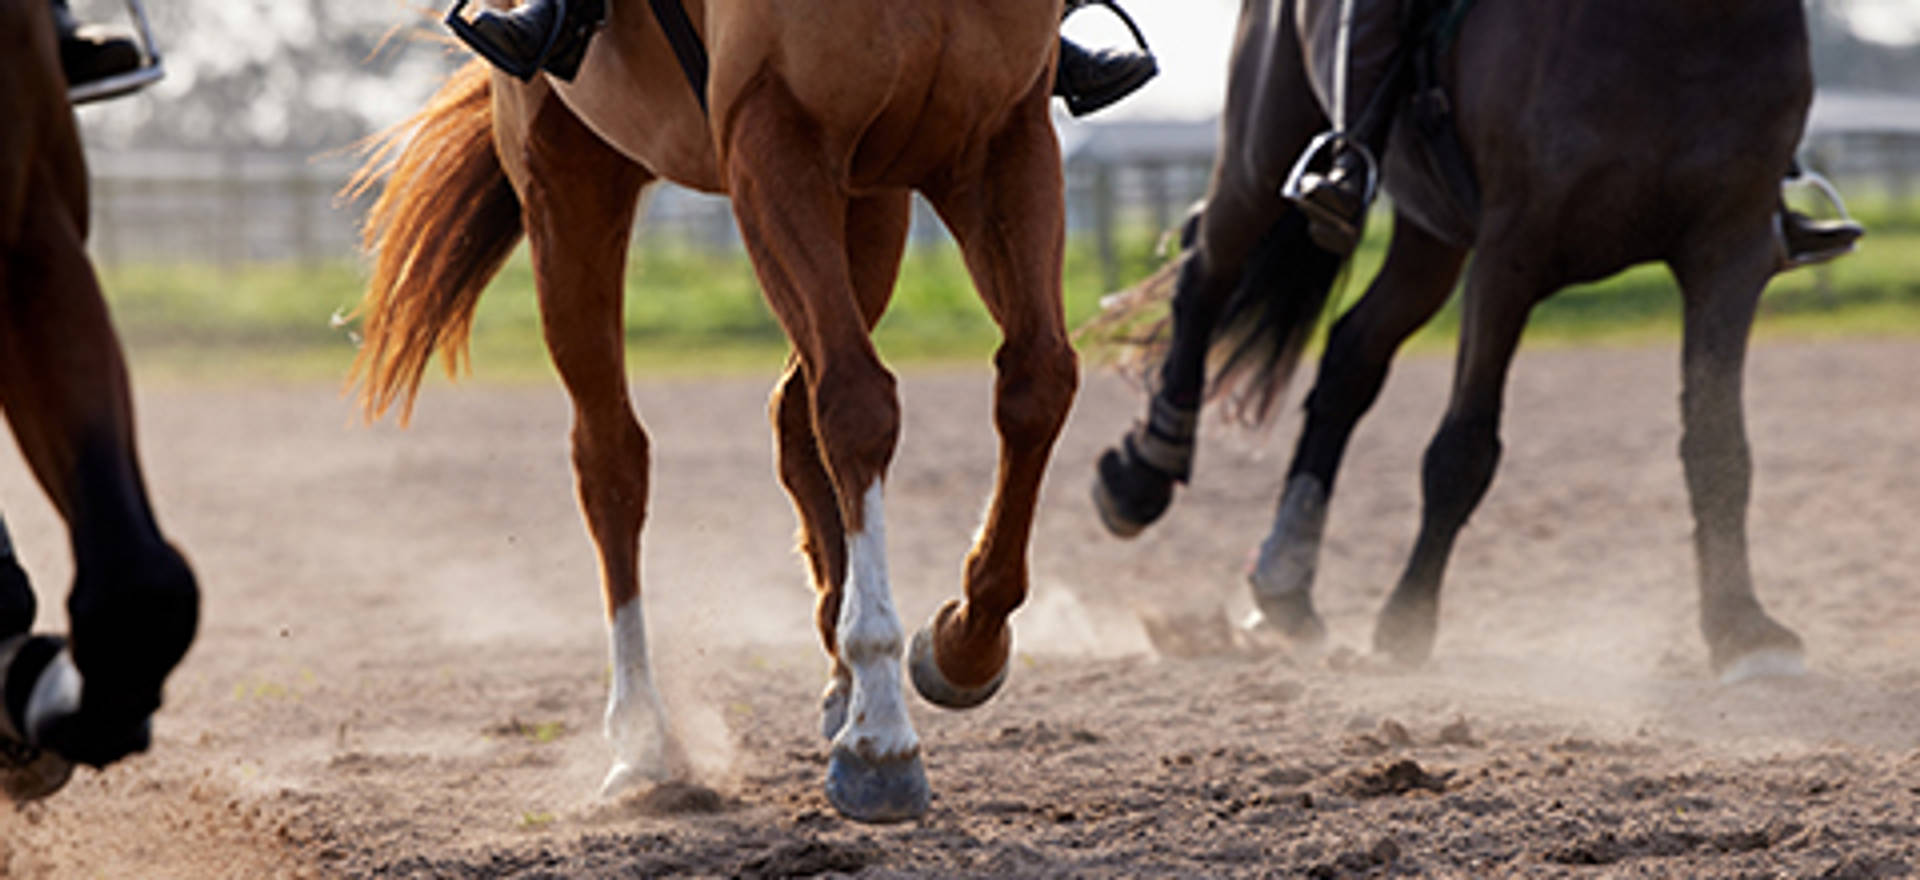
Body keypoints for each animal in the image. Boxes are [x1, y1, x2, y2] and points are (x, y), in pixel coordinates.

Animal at [349, 0, 1076, 823]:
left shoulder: (1006, 141)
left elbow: (1038, 381)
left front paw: (961, 648)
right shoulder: (774, 137)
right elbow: (859, 405)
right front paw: (881, 738)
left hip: (869, 207)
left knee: (794, 414)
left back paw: (839, 673)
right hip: (568, 184)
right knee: (612, 455)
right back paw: (643, 740)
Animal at [1092, 0, 1814, 682]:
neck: (1683, 26)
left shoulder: (1732, 251)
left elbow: (1719, 446)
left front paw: (1742, 629)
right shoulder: (1511, 252)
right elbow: (1463, 450)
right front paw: (1408, 620)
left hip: (1429, 238)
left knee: (1351, 355)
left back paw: (1285, 580)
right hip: (1261, 149)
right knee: (1204, 273)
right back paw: (1142, 476)